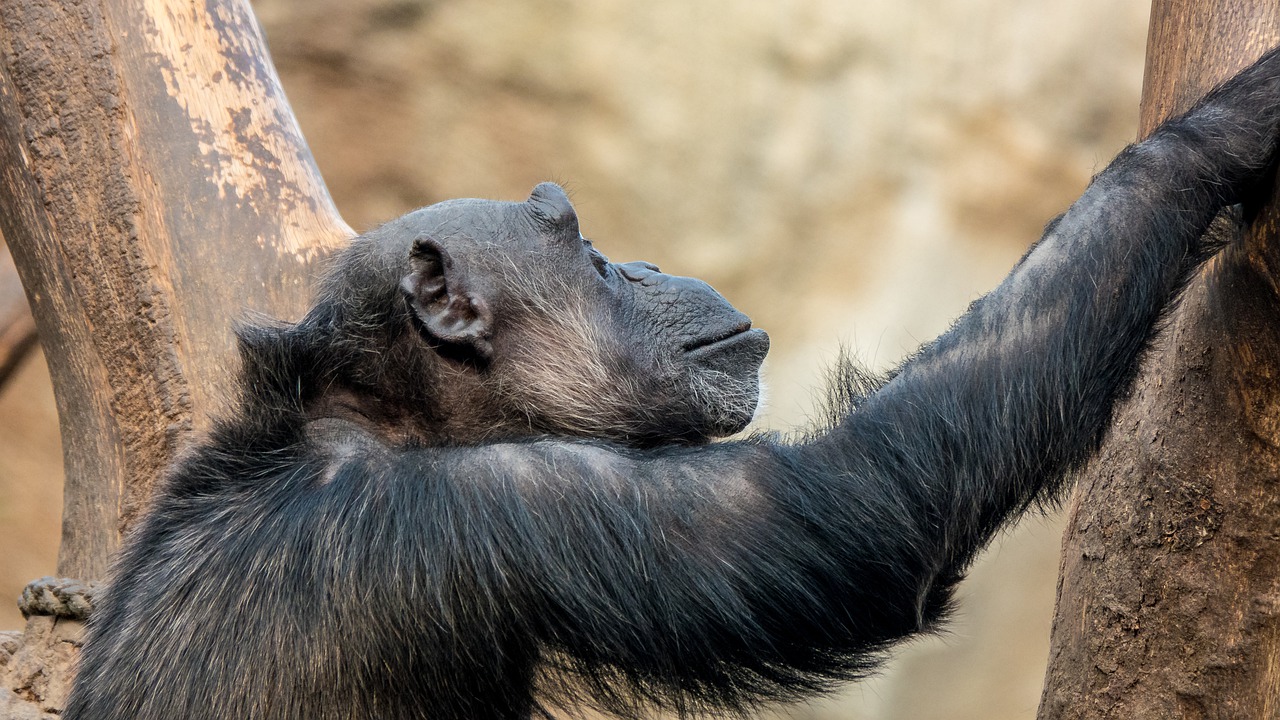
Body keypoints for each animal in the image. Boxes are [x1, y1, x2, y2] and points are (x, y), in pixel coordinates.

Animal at [65, 46, 1280, 720]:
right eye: (584, 249)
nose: (638, 261)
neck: (396, 417)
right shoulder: (499, 506)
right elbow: (861, 509)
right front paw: (1226, 127)